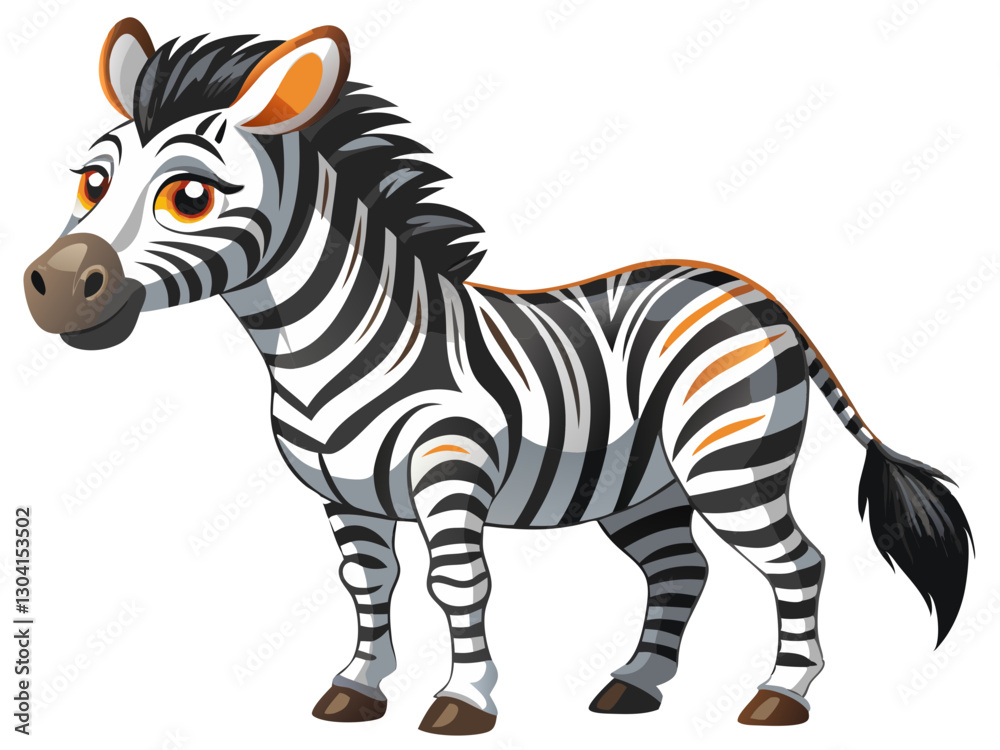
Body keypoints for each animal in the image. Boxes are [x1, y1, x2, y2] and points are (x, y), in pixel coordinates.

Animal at [23, 19, 973, 735]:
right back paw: (634, 685)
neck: (319, 345)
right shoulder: (345, 494)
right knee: (681, 570)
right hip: (643, 487)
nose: (53, 289)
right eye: (92, 181)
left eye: (188, 196)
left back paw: (781, 696)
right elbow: (368, 585)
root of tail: (754, 294)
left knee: (798, 563)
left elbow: (457, 584)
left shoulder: (450, 469)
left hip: (730, 463)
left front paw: (462, 701)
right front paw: (356, 688)